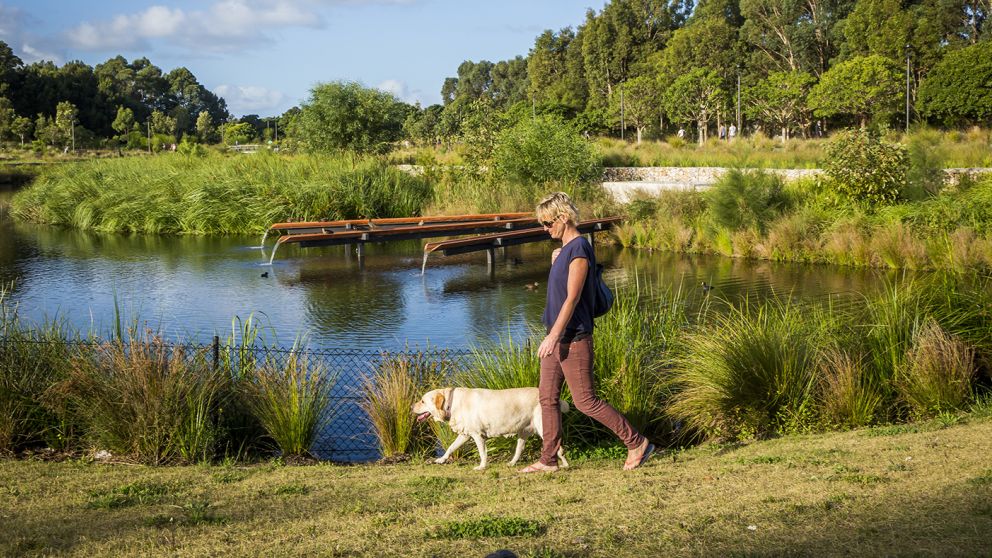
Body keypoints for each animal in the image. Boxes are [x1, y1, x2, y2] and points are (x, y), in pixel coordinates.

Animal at [408, 390, 564, 472]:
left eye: (422, 401)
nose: (410, 407)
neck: (450, 404)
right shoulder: (464, 434)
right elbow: (451, 447)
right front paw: (441, 459)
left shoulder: (477, 435)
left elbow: (482, 453)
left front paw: (481, 466)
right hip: (523, 432)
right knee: (520, 449)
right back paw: (512, 463)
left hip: (542, 426)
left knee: (558, 447)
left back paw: (562, 466)